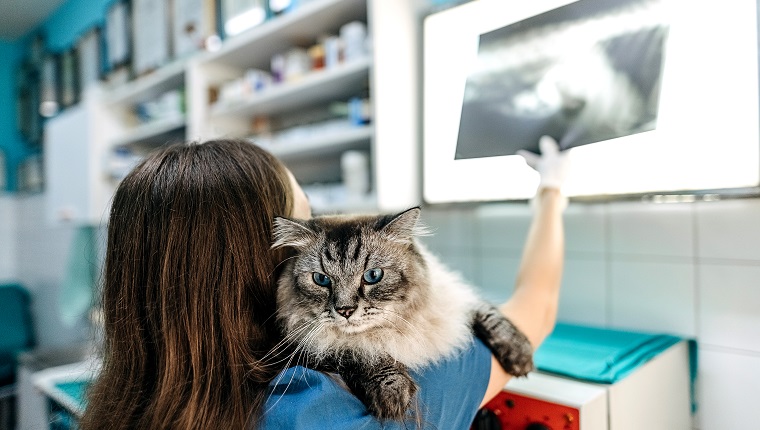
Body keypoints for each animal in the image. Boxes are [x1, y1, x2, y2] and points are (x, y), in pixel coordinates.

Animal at [270, 207, 532, 422]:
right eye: (321, 280)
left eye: (372, 276)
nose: (345, 310)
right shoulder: (307, 344)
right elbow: (359, 352)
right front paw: (393, 393)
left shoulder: (454, 301)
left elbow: (490, 316)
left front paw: (520, 356)